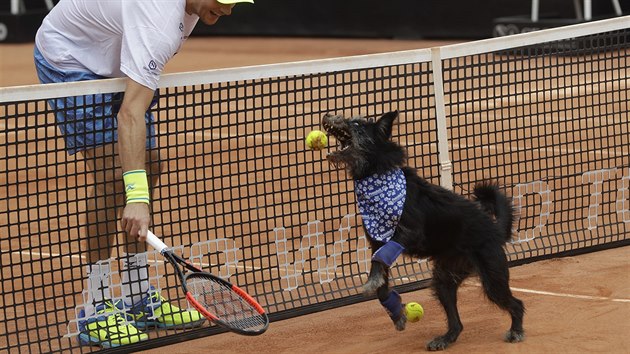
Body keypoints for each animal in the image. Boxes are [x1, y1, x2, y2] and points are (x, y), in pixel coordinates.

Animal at [324, 111, 524, 352]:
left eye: (356, 123)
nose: (327, 115)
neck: (377, 173)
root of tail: (494, 229)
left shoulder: (409, 233)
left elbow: (379, 259)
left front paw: (373, 284)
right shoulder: (378, 240)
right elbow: (380, 277)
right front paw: (396, 312)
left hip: (492, 277)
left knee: (517, 303)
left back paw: (516, 331)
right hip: (445, 280)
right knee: (456, 322)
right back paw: (445, 338)